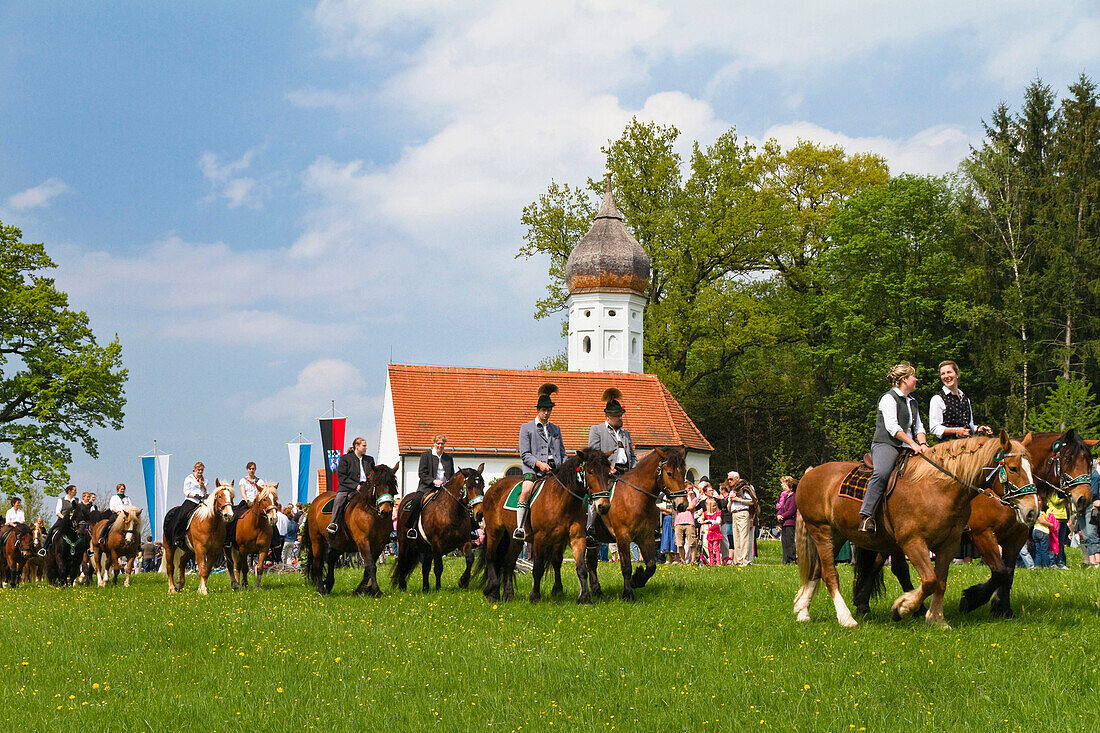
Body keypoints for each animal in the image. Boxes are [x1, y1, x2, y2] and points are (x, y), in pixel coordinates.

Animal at [303, 462, 398, 594]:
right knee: (318, 563)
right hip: (317, 540)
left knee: (331, 558)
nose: (386, 511)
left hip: (341, 543)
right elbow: (371, 566)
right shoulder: (363, 541)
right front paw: (376, 591)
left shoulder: (379, 544)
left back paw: (328, 584)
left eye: (392, 484)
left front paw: (360, 590)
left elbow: (368, 568)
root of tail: (314, 503)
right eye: (377, 484)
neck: (372, 513)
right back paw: (321, 589)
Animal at [479, 449, 611, 603]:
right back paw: (493, 591)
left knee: (508, 562)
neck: (562, 499)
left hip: (515, 539)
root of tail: (493, 487)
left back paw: (508, 594)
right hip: (494, 532)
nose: (603, 506)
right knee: (490, 557)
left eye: (608, 472)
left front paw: (585, 598)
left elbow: (581, 568)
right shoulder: (540, 538)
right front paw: (535, 596)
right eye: (590, 472)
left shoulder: (577, 537)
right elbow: (538, 569)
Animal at [585, 444, 686, 598]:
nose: (682, 505)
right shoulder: (622, 537)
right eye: (669, 473)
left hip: (596, 539)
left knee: (591, 562)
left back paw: (597, 590)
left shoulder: (646, 537)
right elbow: (626, 566)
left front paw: (637, 580)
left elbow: (651, 565)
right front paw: (628, 594)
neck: (635, 497)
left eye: (685, 472)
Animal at [796, 431, 1034, 625]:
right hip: (821, 531)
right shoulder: (915, 542)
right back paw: (846, 618)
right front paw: (903, 607)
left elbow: (941, 582)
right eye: (1013, 468)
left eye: (1031, 469)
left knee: (818, 570)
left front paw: (936, 619)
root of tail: (809, 475)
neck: (937, 488)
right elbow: (930, 581)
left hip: (837, 536)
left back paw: (803, 611)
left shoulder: (950, 544)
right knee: (830, 573)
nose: (1032, 510)